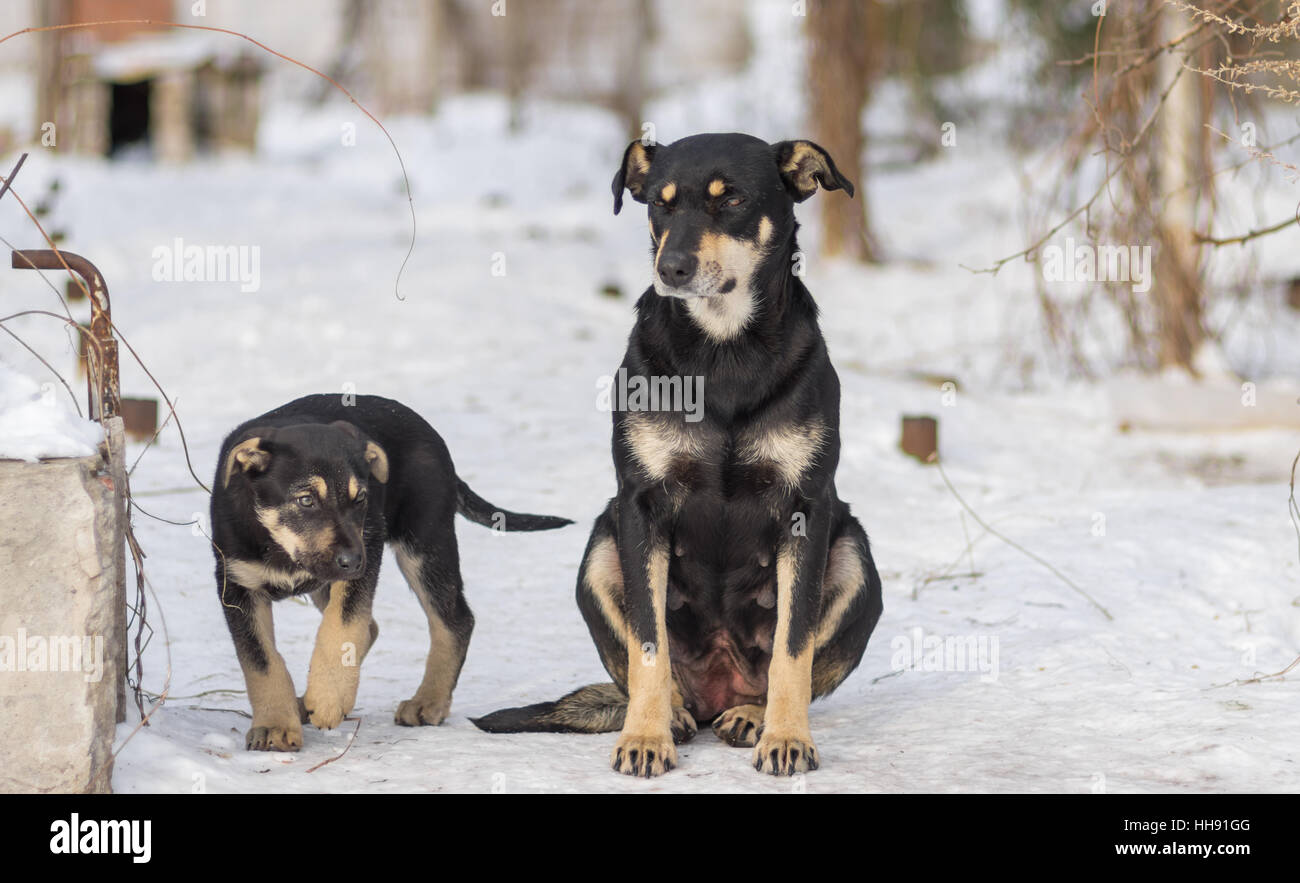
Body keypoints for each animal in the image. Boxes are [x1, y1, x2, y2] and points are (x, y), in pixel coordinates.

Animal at [213, 395, 569, 754]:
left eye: (361, 498)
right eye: (306, 500)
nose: (353, 561)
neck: (279, 546)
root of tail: (427, 430)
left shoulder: (367, 550)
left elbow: (342, 626)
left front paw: (328, 699)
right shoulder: (237, 584)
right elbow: (261, 661)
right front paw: (275, 725)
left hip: (424, 543)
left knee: (455, 620)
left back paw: (428, 702)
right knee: (374, 627)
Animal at [473, 134, 889, 775]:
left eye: (732, 199)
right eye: (660, 204)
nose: (671, 268)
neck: (723, 349)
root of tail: (713, 694)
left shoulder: (807, 508)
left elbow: (793, 646)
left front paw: (786, 737)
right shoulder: (641, 505)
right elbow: (649, 642)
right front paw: (645, 737)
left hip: (855, 559)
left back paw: (750, 715)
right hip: (600, 550)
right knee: (651, 671)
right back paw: (669, 713)